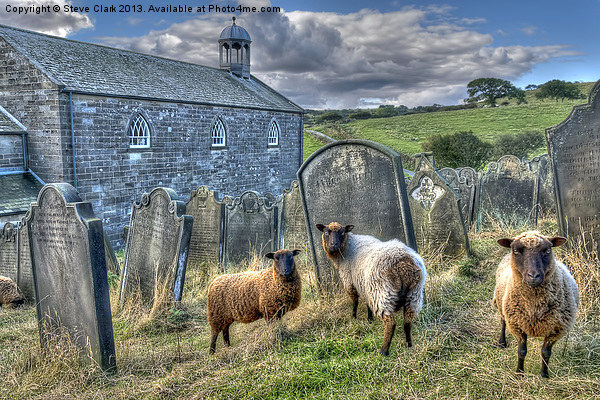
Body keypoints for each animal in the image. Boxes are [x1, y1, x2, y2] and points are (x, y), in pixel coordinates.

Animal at [494, 231, 580, 378]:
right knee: (503, 322)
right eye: (516, 251)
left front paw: (544, 375)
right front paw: (519, 373)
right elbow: (521, 351)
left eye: (547, 250)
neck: (534, 306)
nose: (533, 276)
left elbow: (546, 353)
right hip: (502, 306)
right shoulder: (517, 325)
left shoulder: (556, 329)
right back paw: (502, 342)